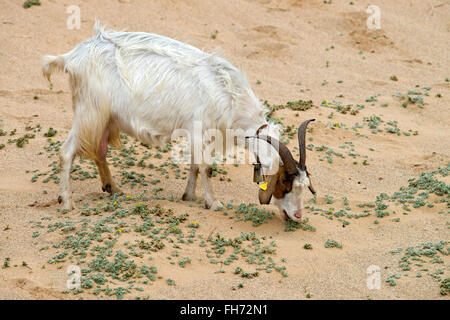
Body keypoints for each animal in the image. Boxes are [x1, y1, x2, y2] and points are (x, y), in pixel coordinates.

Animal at [42, 23, 316, 222]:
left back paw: (114, 189)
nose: (298, 216)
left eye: (305, 185)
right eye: (285, 182)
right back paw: (66, 201)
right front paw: (213, 202)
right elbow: (205, 167)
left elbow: (195, 165)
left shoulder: (197, 133)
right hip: (90, 112)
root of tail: (71, 57)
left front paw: (189, 196)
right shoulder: (200, 129)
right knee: (67, 152)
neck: (229, 93)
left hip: (105, 118)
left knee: (99, 151)